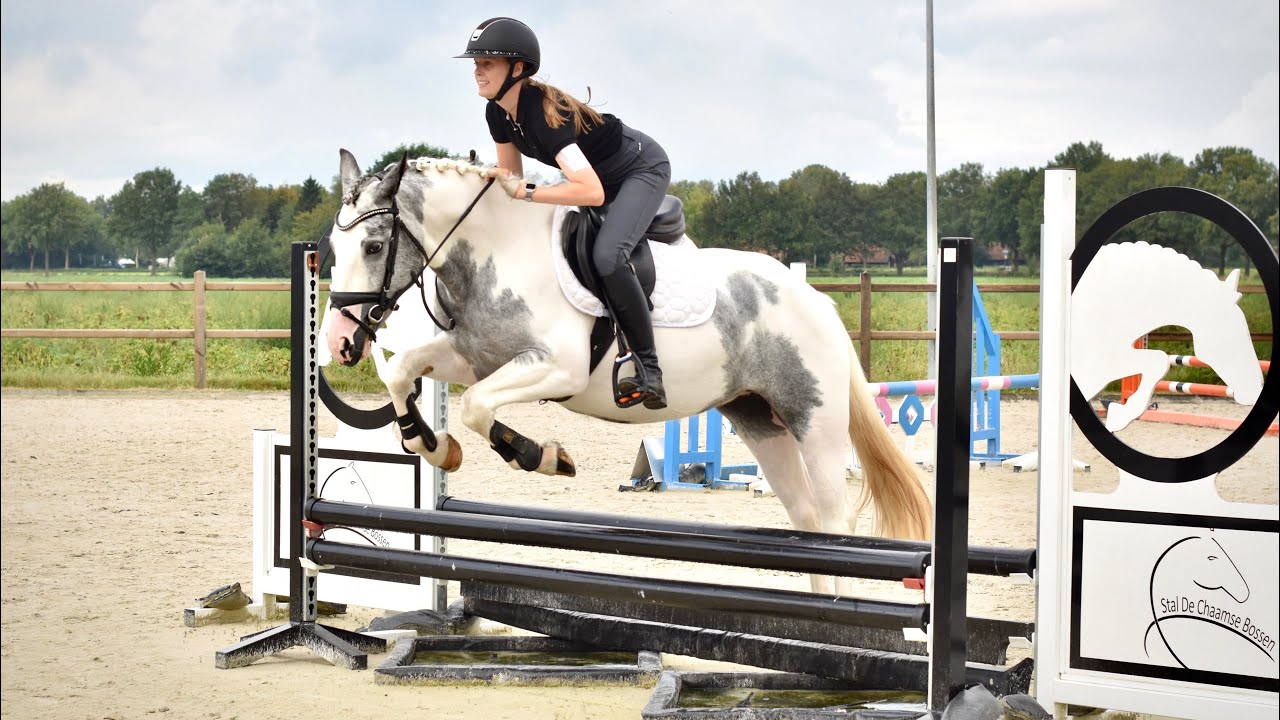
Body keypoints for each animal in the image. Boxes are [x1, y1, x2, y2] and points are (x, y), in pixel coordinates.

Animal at [320, 150, 932, 594]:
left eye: (374, 246)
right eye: (332, 246)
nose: (340, 342)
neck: (499, 253)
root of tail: (816, 298)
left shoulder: (556, 369)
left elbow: (475, 406)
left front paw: (542, 456)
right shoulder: (472, 355)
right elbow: (402, 373)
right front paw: (431, 444)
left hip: (814, 419)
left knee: (833, 521)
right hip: (758, 417)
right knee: (806, 519)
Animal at [1071, 241, 1264, 432]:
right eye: (1234, 336)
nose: (1256, 389)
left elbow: (1158, 362)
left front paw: (1119, 414)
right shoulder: (1101, 363)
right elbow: (1160, 360)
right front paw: (1119, 415)